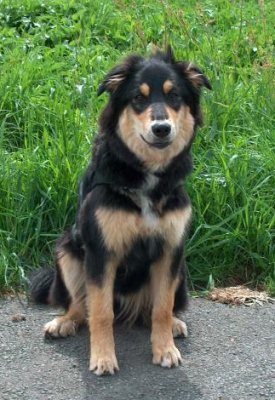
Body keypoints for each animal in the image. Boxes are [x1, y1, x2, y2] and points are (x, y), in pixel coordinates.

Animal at [30, 46, 211, 376]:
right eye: (138, 97)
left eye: (174, 96)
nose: (162, 129)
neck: (146, 176)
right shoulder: (101, 252)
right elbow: (100, 312)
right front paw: (103, 358)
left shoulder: (170, 250)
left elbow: (162, 308)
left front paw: (165, 349)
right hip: (67, 249)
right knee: (80, 304)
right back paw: (64, 322)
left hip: (181, 270)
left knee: (157, 308)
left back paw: (175, 324)